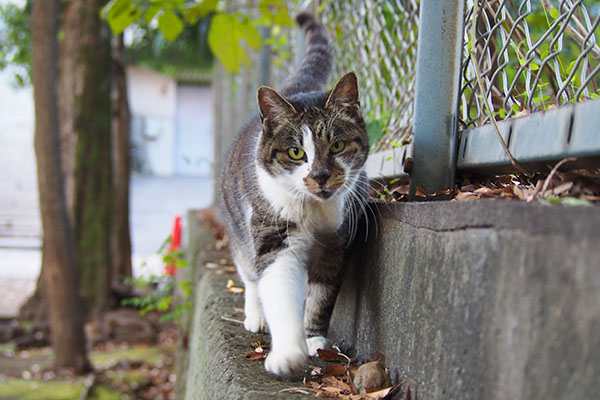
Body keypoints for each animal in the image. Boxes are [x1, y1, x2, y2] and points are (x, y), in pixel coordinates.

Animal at [219, 12, 370, 376]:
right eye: (296, 153)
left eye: (338, 146)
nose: (320, 176)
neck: (314, 210)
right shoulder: (275, 238)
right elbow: (278, 288)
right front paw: (288, 352)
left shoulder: (336, 244)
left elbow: (321, 296)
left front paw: (314, 339)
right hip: (240, 232)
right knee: (250, 277)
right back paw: (256, 316)